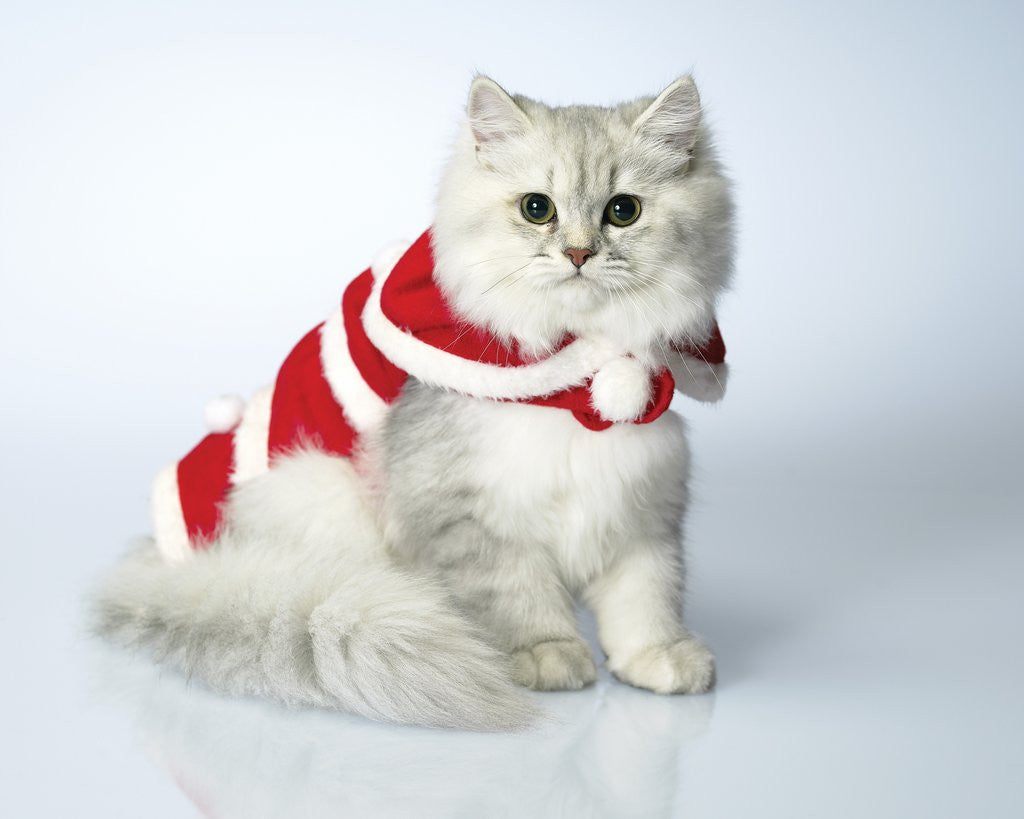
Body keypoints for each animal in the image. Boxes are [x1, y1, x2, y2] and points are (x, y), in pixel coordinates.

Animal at [92, 75, 737, 728]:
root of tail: (171, 565)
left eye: (623, 211)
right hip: (323, 495)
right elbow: (518, 597)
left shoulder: (643, 508)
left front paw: (659, 658)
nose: (579, 255)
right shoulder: (471, 518)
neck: (581, 384)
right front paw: (546, 654)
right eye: (538, 209)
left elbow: (646, 599)